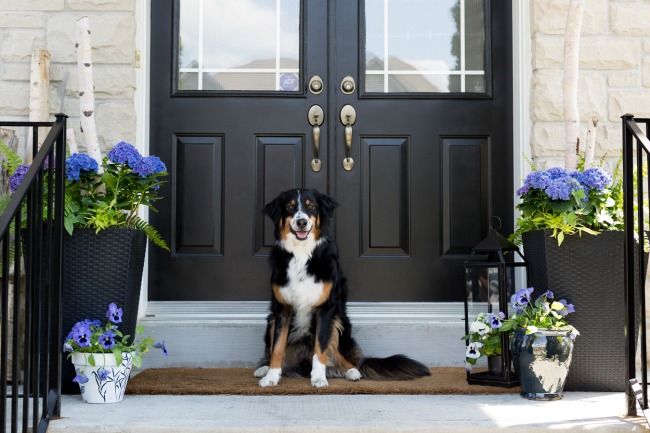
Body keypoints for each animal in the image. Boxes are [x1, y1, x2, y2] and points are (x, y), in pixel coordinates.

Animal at [253, 187, 430, 386]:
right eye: (290, 207)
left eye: (311, 206)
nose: (301, 222)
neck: (301, 254)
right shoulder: (282, 309)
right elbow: (277, 347)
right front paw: (271, 376)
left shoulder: (325, 309)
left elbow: (320, 350)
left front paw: (319, 378)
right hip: (271, 321)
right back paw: (264, 368)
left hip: (338, 323)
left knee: (345, 359)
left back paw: (352, 372)